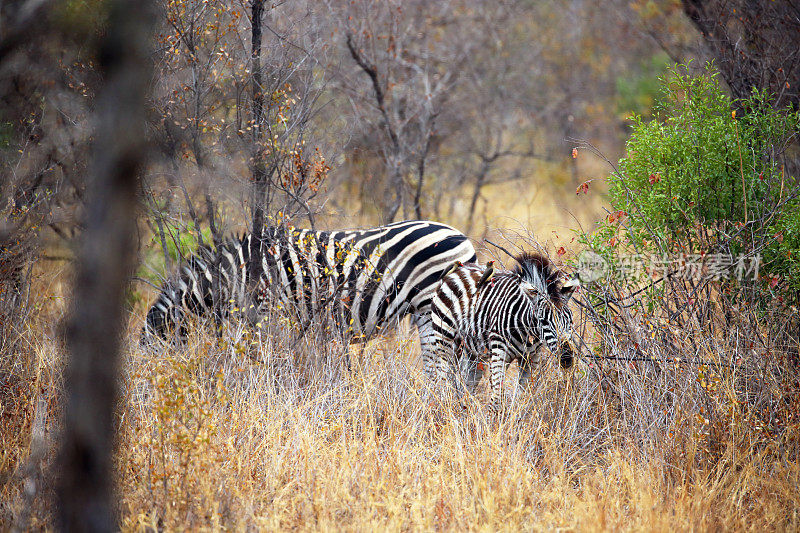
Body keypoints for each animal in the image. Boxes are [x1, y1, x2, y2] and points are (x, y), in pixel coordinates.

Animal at [428, 251, 580, 410]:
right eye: (543, 321)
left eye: (570, 321)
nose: (567, 358)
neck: (527, 332)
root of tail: (459, 267)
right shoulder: (499, 353)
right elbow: (496, 398)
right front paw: (495, 417)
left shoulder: (531, 358)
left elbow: (521, 397)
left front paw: (516, 415)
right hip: (445, 339)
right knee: (444, 379)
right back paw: (446, 408)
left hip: (474, 353)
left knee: (468, 386)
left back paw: (464, 411)